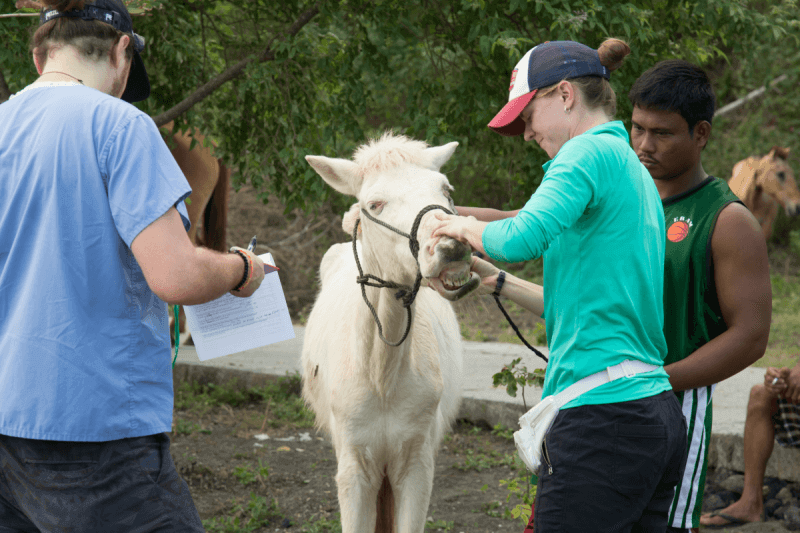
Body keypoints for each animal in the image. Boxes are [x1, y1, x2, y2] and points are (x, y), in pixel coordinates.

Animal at [298, 133, 476, 532]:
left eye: (446, 190)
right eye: (375, 204)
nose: (452, 246)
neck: (381, 373)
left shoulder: (416, 465)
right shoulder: (354, 469)